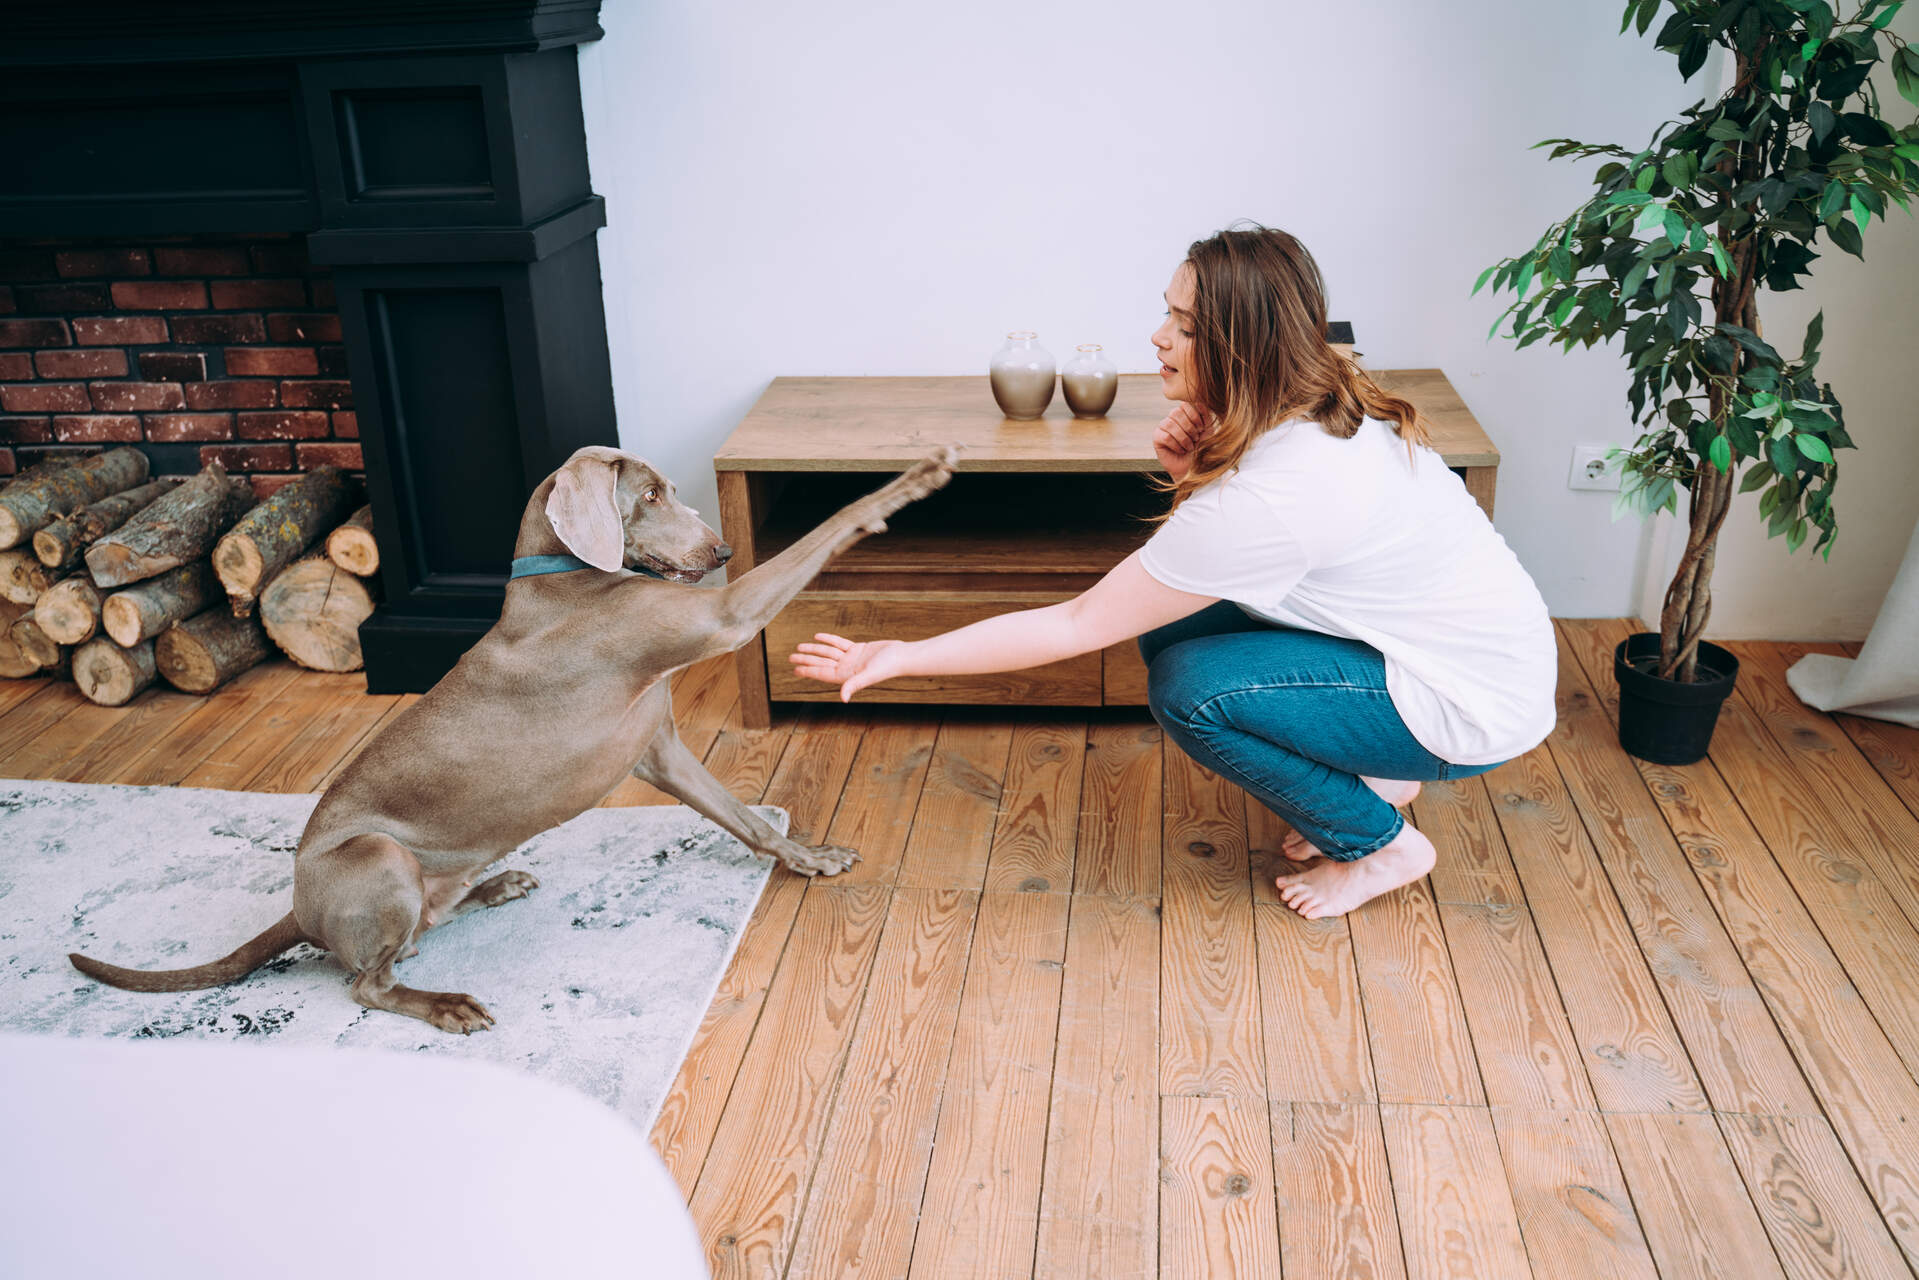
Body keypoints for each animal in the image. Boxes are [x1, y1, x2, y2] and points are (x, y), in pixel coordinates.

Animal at [71, 445, 955, 1036]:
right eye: (651, 494)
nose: (723, 551)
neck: (568, 575)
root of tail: (298, 911)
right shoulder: (724, 615)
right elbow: (828, 529)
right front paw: (910, 481)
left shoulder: (659, 748)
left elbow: (744, 817)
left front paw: (809, 857)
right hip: (374, 858)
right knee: (367, 983)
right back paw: (445, 1003)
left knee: (420, 931)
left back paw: (493, 887)